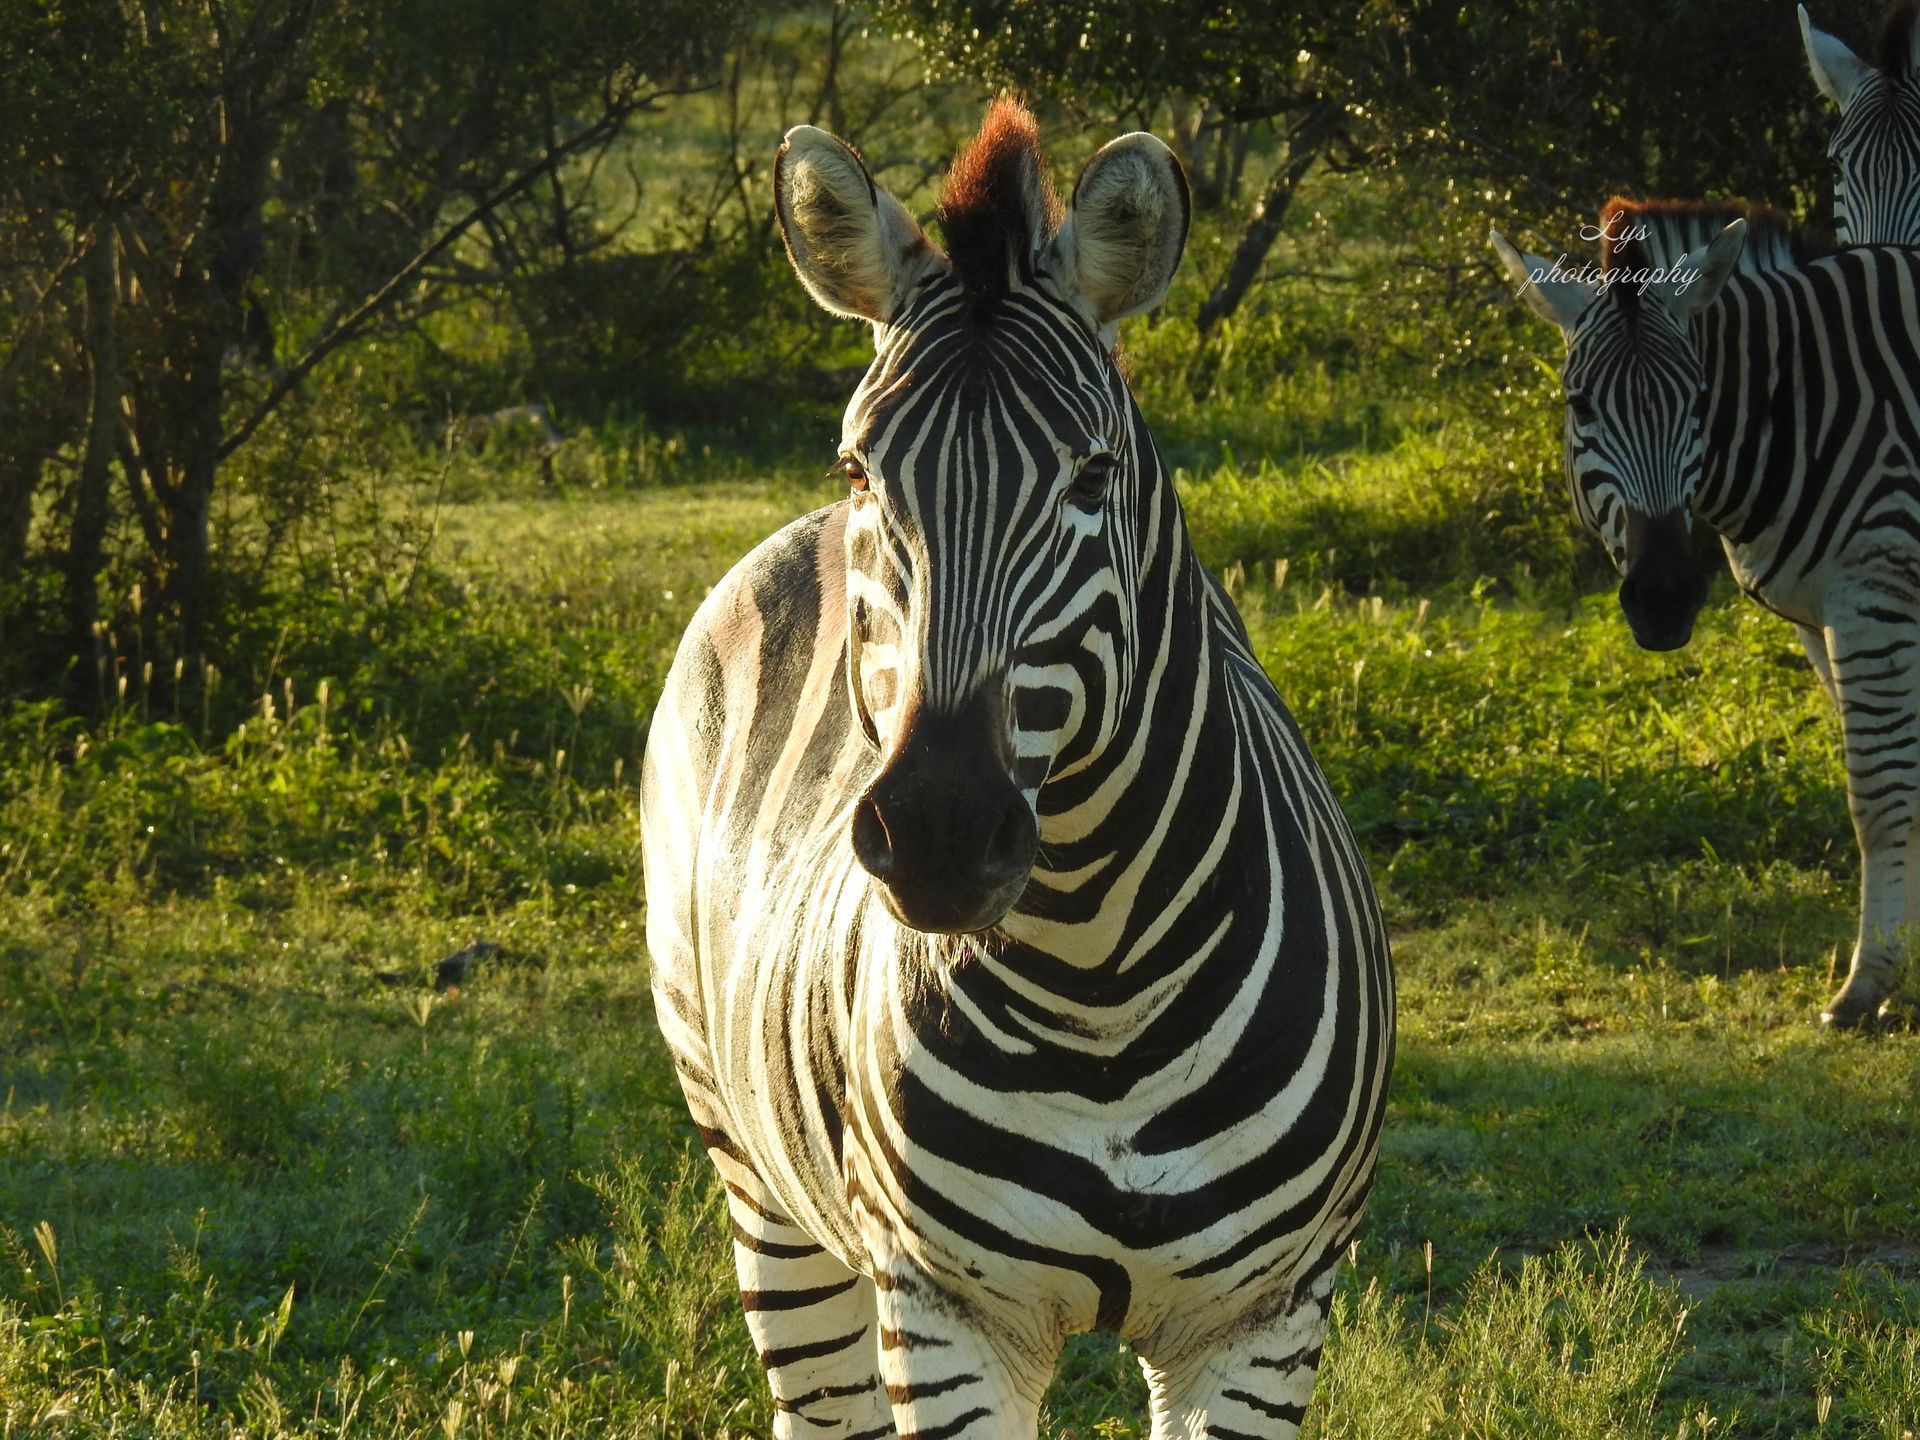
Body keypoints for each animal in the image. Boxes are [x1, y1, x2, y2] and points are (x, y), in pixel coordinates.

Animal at [641, 99, 1394, 1439]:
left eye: (1093, 474)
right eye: (859, 470)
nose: (940, 833)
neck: (1101, 983)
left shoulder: (1262, 1324)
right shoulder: (948, 1315)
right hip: (760, 1185)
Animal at [1490, 198, 1920, 1028]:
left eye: (1697, 401)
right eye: (1578, 407)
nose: (1662, 598)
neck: (1809, 408)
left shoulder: (1876, 595)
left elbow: (1879, 797)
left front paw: (1866, 987)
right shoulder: (1822, 619)